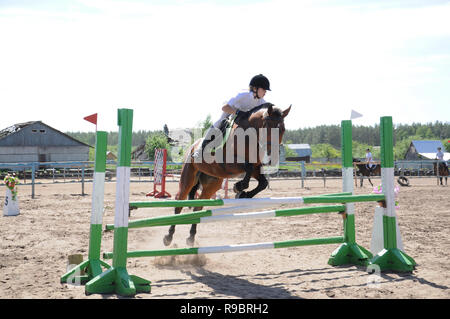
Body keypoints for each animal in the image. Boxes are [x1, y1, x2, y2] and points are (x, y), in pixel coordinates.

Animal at [163, 104, 292, 246]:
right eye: (268, 126)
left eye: (283, 129)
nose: (272, 156)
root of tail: (192, 146)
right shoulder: (229, 163)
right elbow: (248, 168)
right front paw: (239, 187)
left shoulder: (255, 168)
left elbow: (262, 182)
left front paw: (243, 193)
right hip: (189, 176)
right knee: (179, 202)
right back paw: (168, 237)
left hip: (212, 184)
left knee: (198, 207)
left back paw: (191, 237)